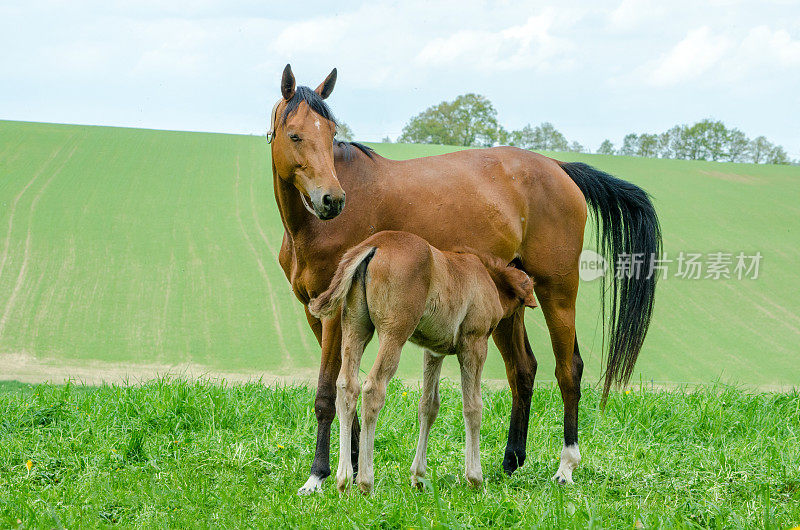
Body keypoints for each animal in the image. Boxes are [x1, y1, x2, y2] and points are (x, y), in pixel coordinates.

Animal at [306, 230, 536, 490]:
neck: (484, 275)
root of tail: (375, 244)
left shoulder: (434, 351)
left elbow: (428, 405)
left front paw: (419, 476)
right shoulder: (474, 343)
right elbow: (473, 406)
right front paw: (475, 478)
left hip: (355, 327)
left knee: (347, 386)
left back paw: (344, 479)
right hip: (394, 332)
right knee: (373, 388)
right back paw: (365, 481)